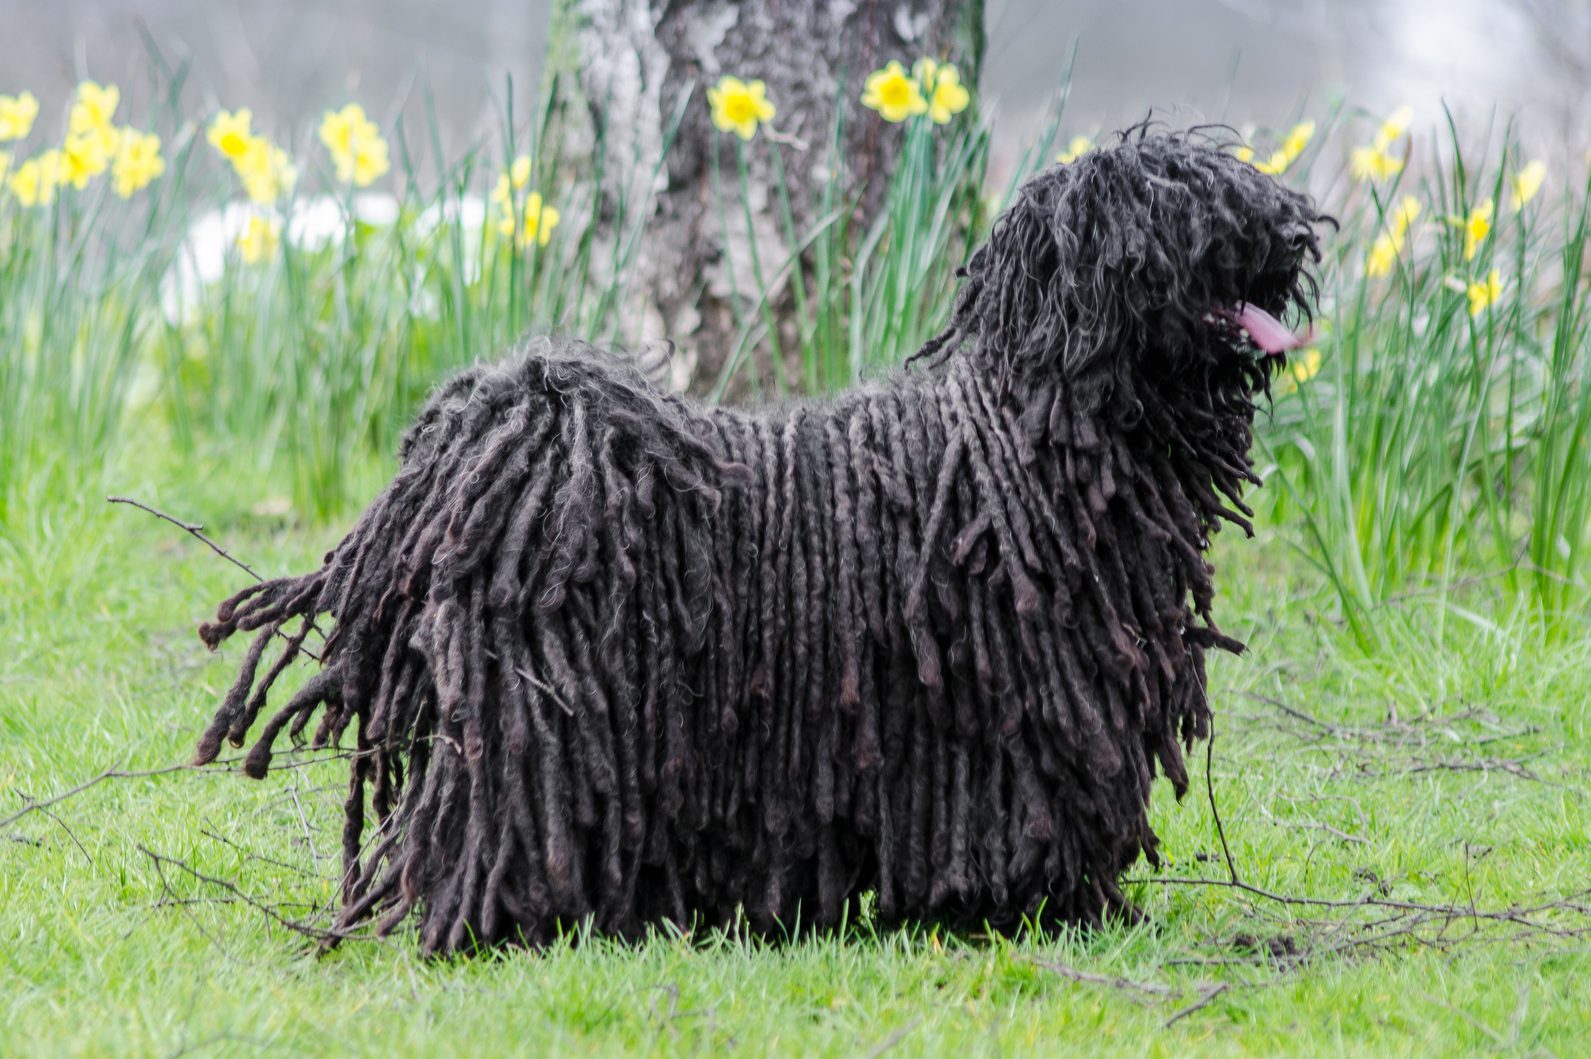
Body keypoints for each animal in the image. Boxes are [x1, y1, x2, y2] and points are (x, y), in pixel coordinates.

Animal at [192, 128, 1323, 954]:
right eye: (1179, 205)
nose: (1282, 228)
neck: (1032, 430)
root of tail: (502, 436)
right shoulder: (1013, 710)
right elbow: (1028, 810)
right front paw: (1040, 906)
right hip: (537, 714)